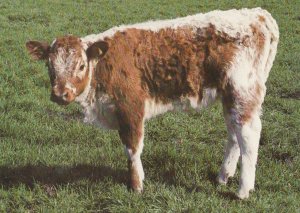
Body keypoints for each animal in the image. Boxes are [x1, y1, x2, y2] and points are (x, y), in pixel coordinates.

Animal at [25, 7, 278, 199]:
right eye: (49, 65)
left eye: (80, 65)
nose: (60, 94)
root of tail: (257, 14)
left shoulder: (131, 107)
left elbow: (132, 148)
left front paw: (136, 186)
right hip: (229, 95)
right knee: (234, 132)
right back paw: (223, 177)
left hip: (242, 90)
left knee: (248, 134)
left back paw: (243, 190)